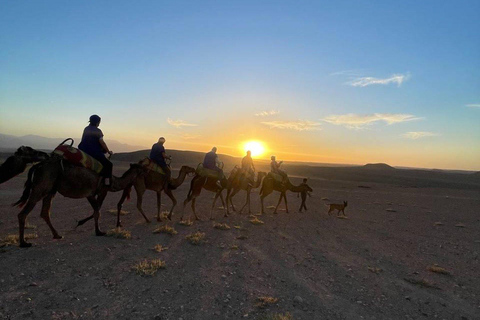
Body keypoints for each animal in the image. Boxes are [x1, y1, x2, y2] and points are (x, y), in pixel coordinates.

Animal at [13, 158, 144, 248]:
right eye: (140, 167)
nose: (145, 169)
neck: (113, 181)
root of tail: (37, 167)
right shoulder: (96, 192)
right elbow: (97, 211)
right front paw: (98, 231)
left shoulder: (95, 193)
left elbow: (97, 210)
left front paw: (84, 224)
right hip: (40, 188)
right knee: (23, 213)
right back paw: (23, 242)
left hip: (51, 190)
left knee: (45, 212)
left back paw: (57, 235)